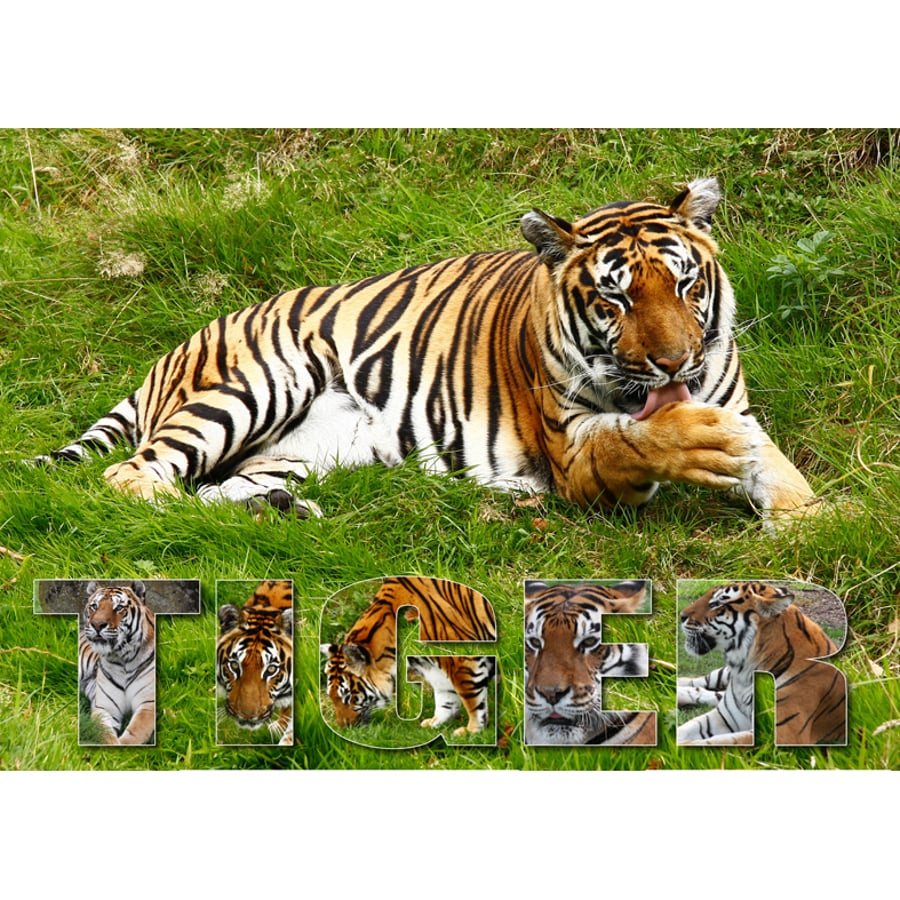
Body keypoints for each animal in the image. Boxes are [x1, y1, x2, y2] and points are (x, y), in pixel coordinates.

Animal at [39, 177, 816, 526]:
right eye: (614, 300)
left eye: (685, 284)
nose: (673, 363)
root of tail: (172, 351)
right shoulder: (574, 451)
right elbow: (635, 437)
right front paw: (691, 440)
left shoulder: (739, 408)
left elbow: (779, 472)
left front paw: (807, 526)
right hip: (255, 384)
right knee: (135, 479)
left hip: (295, 450)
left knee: (216, 488)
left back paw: (284, 510)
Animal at [78, 580, 156, 746]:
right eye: (94, 606)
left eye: (119, 608)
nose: (97, 624)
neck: (123, 658)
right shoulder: (105, 708)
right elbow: (103, 733)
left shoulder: (148, 703)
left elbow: (136, 732)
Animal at [320, 576, 497, 736]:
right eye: (331, 696)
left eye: (348, 697)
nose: (343, 728)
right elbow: (445, 699)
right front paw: (435, 722)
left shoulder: (460, 658)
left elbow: (472, 698)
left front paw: (472, 731)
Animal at [677, 581, 847, 746]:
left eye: (716, 604)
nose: (681, 616)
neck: (746, 673)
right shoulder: (724, 717)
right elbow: (687, 729)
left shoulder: (784, 733)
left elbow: (720, 741)